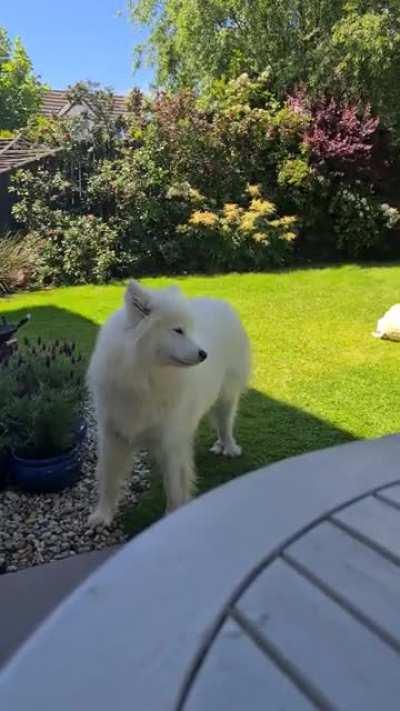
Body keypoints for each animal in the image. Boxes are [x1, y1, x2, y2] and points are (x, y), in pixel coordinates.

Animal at [88, 280, 250, 524]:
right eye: (178, 330)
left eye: (189, 331)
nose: (204, 354)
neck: (145, 378)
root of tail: (219, 303)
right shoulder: (112, 436)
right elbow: (108, 480)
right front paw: (102, 515)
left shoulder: (170, 442)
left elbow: (173, 487)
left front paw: (172, 516)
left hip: (226, 397)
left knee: (225, 425)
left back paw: (229, 448)